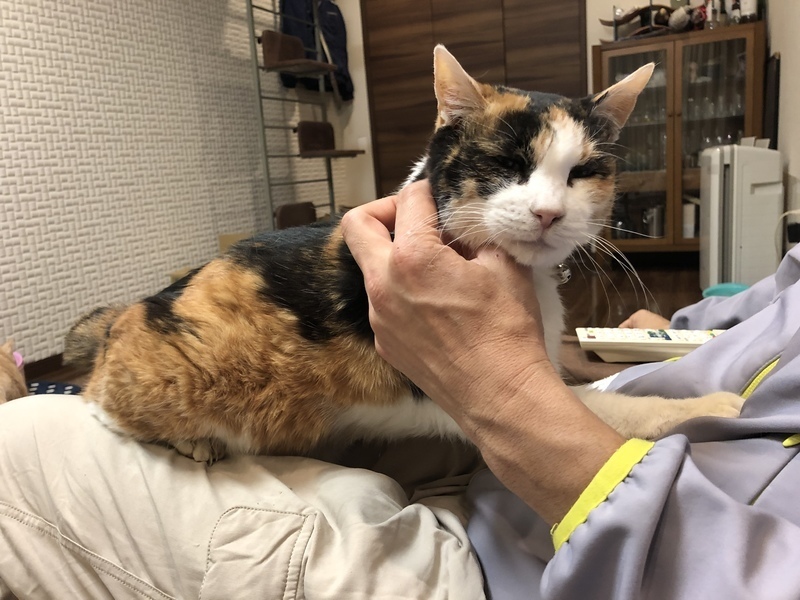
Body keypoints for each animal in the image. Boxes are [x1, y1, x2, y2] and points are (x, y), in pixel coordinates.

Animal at [65, 45, 743, 463]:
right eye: (507, 164)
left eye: (581, 173)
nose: (549, 213)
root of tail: (130, 311)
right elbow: (618, 408)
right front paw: (714, 404)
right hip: (171, 382)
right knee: (96, 406)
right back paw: (193, 442)